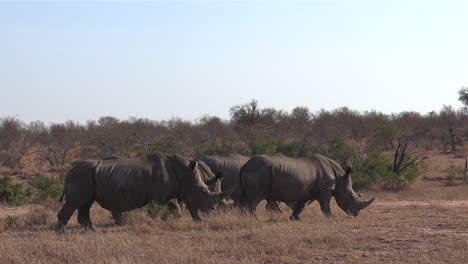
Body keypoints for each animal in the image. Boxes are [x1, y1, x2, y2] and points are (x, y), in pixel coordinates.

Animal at [56, 153, 230, 231]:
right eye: (203, 191)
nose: (212, 211)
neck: (184, 174)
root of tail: (69, 171)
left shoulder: (169, 194)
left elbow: (175, 208)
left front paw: (165, 220)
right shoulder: (156, 197)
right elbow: (153, 210)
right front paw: (152, 223)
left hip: (86, 175)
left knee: (85, 203)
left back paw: (92, 229)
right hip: (82, 175)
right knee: (76, 202)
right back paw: (62, 232)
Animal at [239, 154, 374, 220]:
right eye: (350, 196)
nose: (356, 214)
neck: (339, 177)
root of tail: (245, 165)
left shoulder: (305, 191)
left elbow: (301, 206)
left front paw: (295, 218)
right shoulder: (325, 191)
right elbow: (325, 206)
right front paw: (333, 218)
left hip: (254, 171)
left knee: (245, 198)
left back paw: (244, 218)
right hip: (259, 172)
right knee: (255, 198)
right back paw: (255, 219)